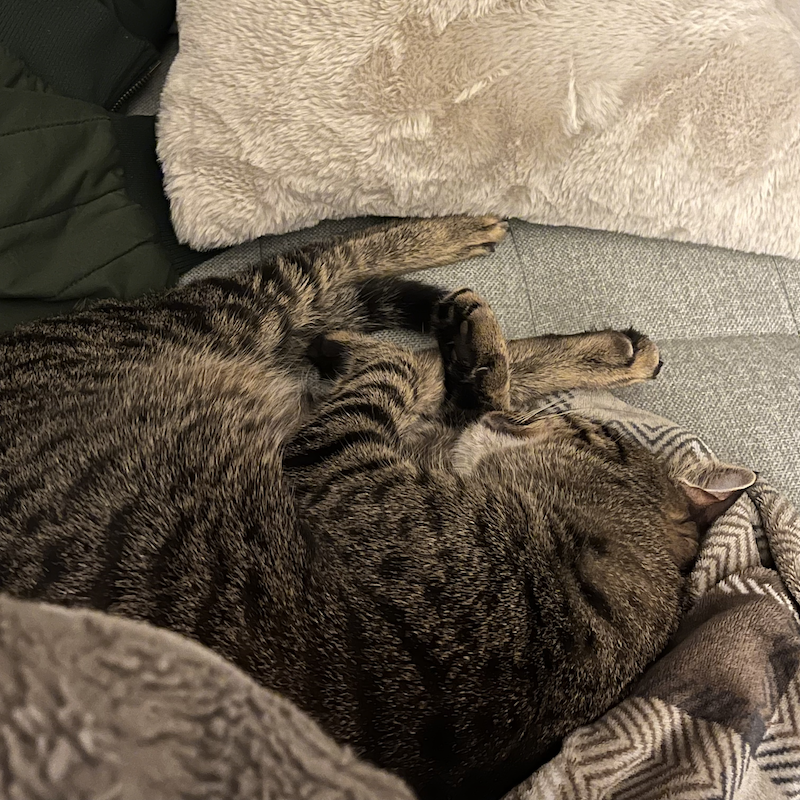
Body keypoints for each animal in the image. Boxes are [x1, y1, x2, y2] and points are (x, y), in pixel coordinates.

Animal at [0, 216, 736, 800]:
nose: (535, 423)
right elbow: (450, 385)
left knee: (320, 276)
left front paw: (449, 355)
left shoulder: (359, 460)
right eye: (590, 432)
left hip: (234, 315)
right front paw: (473, 357)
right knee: (334, 284)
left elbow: (417, 377)